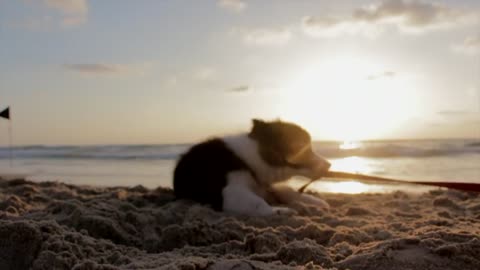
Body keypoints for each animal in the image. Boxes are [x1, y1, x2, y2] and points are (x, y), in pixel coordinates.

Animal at [174, 118, 332, 215]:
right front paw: (279, 211)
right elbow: (259, 203)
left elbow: (289, 191)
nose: (329, 164)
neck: (251, 158)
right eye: (305, 149)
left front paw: (314, 201)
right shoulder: (230, 191)